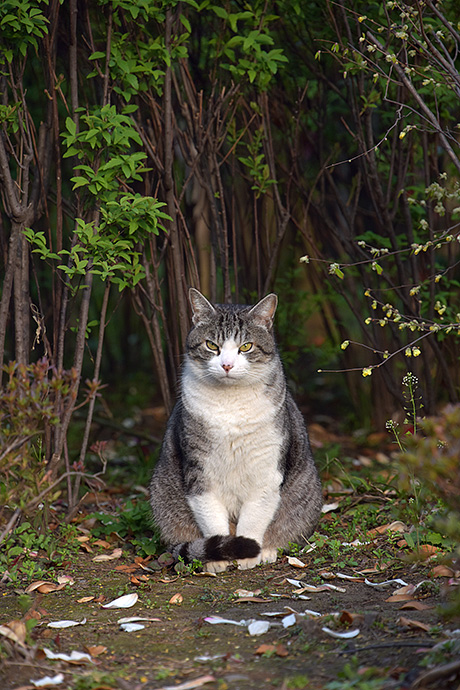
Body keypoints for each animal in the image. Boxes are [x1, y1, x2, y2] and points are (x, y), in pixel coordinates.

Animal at [149, 284, 322, 568]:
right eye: (212, 345)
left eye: (246, 346)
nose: (227, 365)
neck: (230, 404)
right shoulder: (199, 471)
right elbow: (210, 516)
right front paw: (219, 557)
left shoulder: (266, 470)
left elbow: (255, 516)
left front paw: (248, 553)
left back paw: (267, 550)